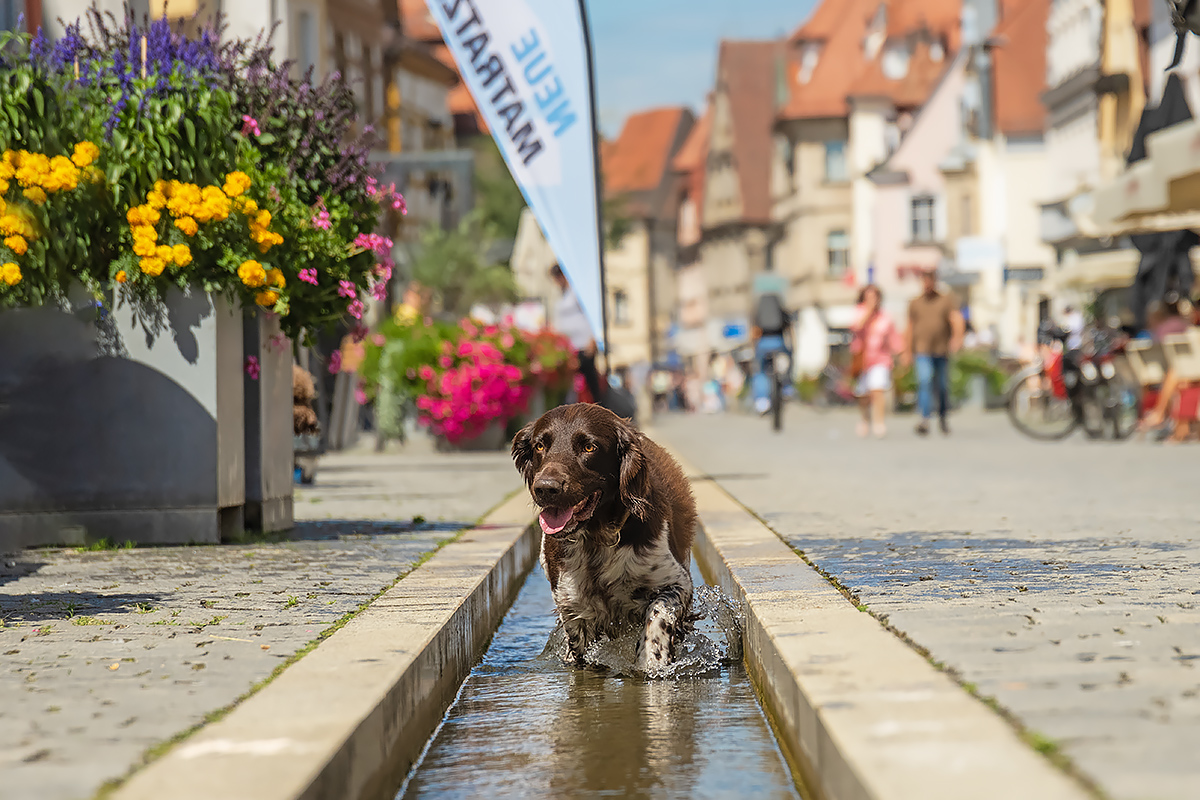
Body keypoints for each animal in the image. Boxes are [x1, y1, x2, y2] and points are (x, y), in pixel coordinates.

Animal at [511, 402, 700, 671]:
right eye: (539, 446)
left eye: (589, 447)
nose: (546, 488)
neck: (595, 539)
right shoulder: (572, 606)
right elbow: (579, 654)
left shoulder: (678, 583)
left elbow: (658, 614)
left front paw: (653, 659)